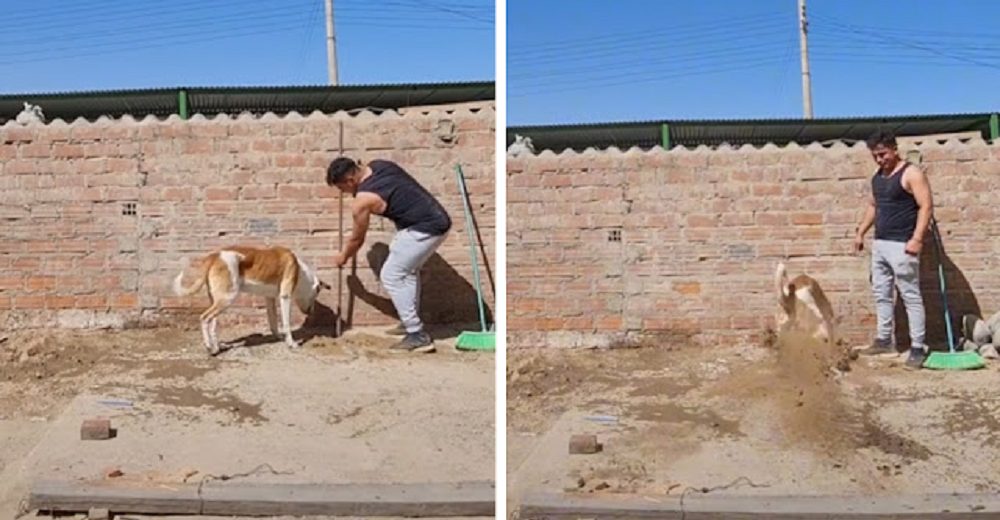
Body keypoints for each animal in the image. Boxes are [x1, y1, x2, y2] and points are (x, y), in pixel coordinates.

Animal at [171, 247, 328, 354]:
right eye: (316, 294)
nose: (311, 312)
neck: (300, 271)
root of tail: (214, 256)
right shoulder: (285, 297)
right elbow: (286, 323)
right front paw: (291, 343)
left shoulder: (269, 299)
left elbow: (273, 321)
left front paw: (278, 336)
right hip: (227, 299)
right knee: (204, 318)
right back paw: (209, 347)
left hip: (218, 300)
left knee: (212, 324)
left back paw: (217, 346)